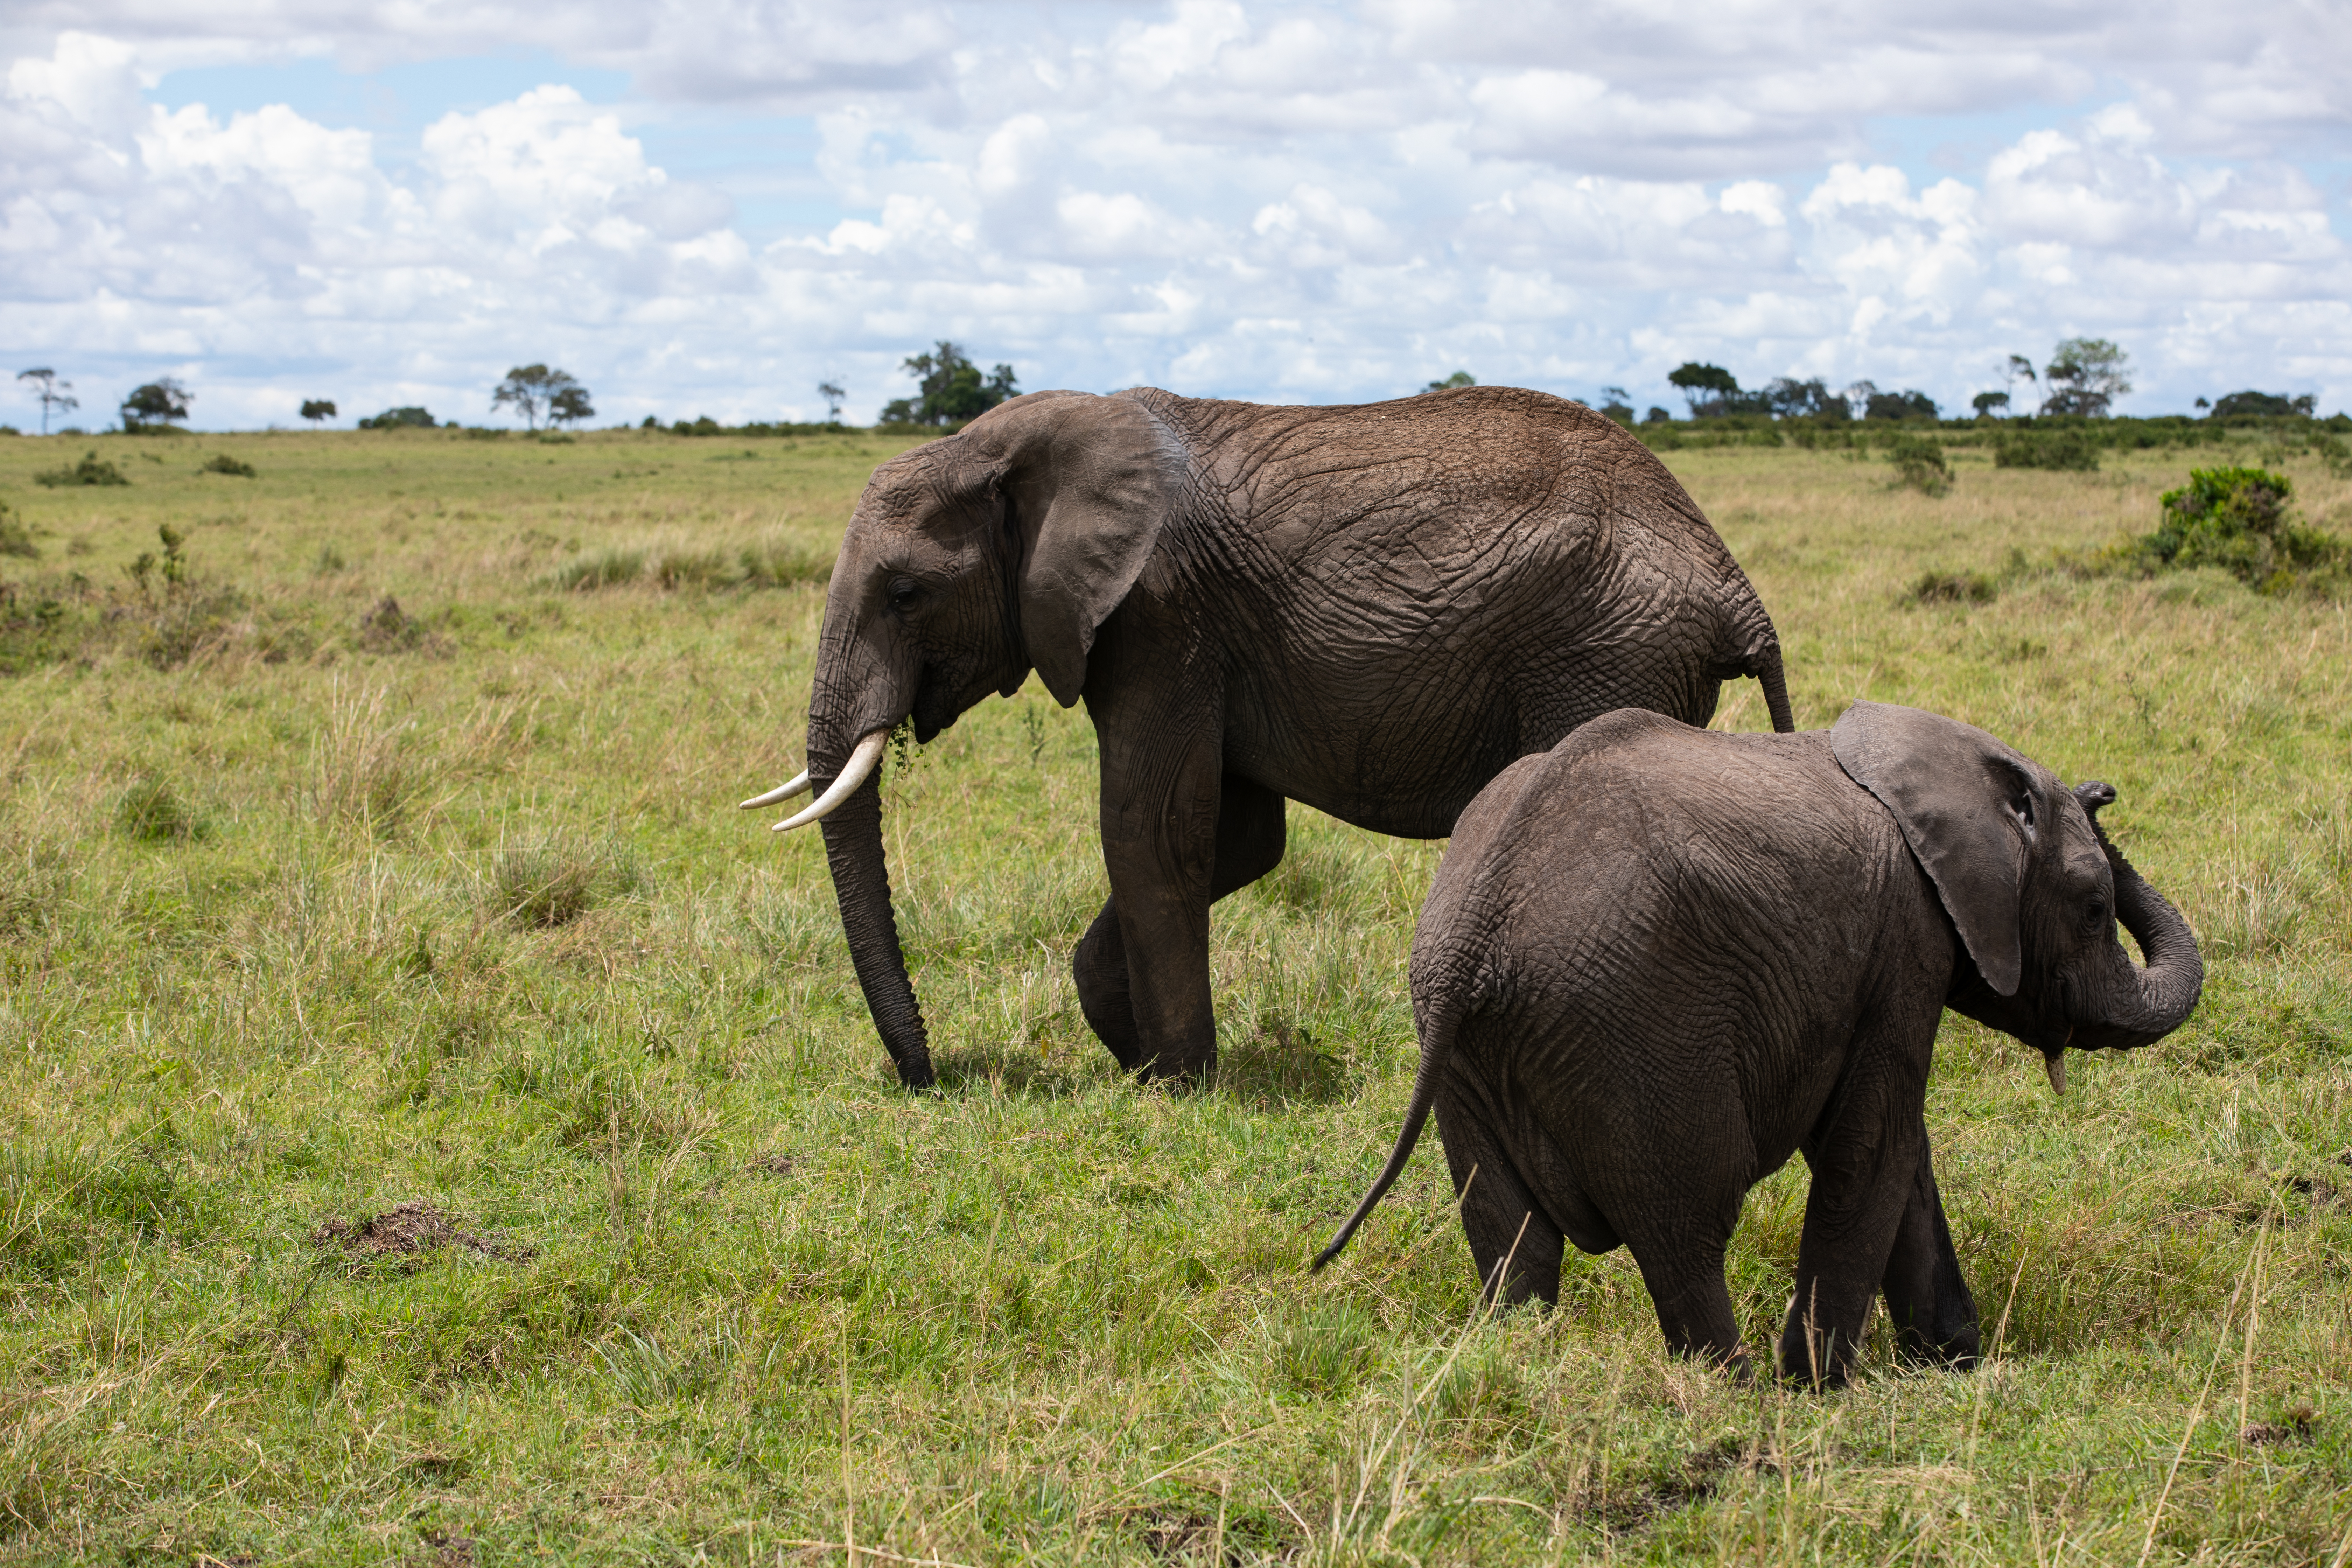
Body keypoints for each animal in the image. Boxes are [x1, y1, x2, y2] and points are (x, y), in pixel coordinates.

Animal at [743, 385, 1795, 1088]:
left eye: (906, 594)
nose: (929, 1077)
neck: (1015, 443)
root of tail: (1733, 583)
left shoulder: (1162, 617)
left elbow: (1151, 831)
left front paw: (1176, 1085)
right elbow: (1241, 840)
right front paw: (1130, 1048)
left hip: (1606, 656)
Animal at [1314, 701, 2204, 1386]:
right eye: (2094, 908)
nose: (2102, 790)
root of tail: (1476, 926)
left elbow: (1901, 1152)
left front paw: (1952, 1366)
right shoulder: (1905, 944)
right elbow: (1872, 1147)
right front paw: (1821, 1385)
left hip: (1467, 1051)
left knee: (1513, 1239)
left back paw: (1522, 1367)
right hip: (1640, 1034)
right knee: (1688, 1229)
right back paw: (1736, 1391)